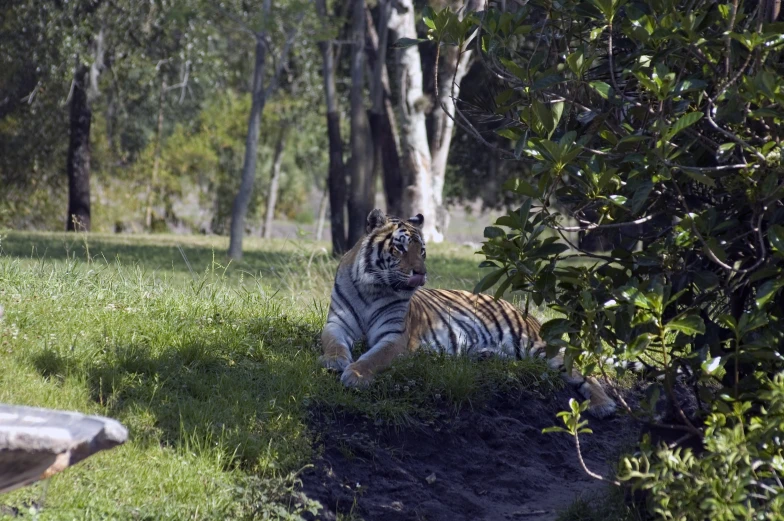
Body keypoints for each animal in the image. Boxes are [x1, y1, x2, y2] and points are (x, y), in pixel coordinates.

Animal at [318, 209, 620, 416]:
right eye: (400, 247)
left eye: (422, 251)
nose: (421, 273)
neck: (373, 288)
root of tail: (530, 316)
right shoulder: (337, 323)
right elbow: (332, 343)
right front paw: (334, 361)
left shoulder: (395, 337)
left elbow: (374, 357)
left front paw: (356, 376)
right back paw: (485, 355)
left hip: (535, 346)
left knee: (583, 372)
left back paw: (603, 404)